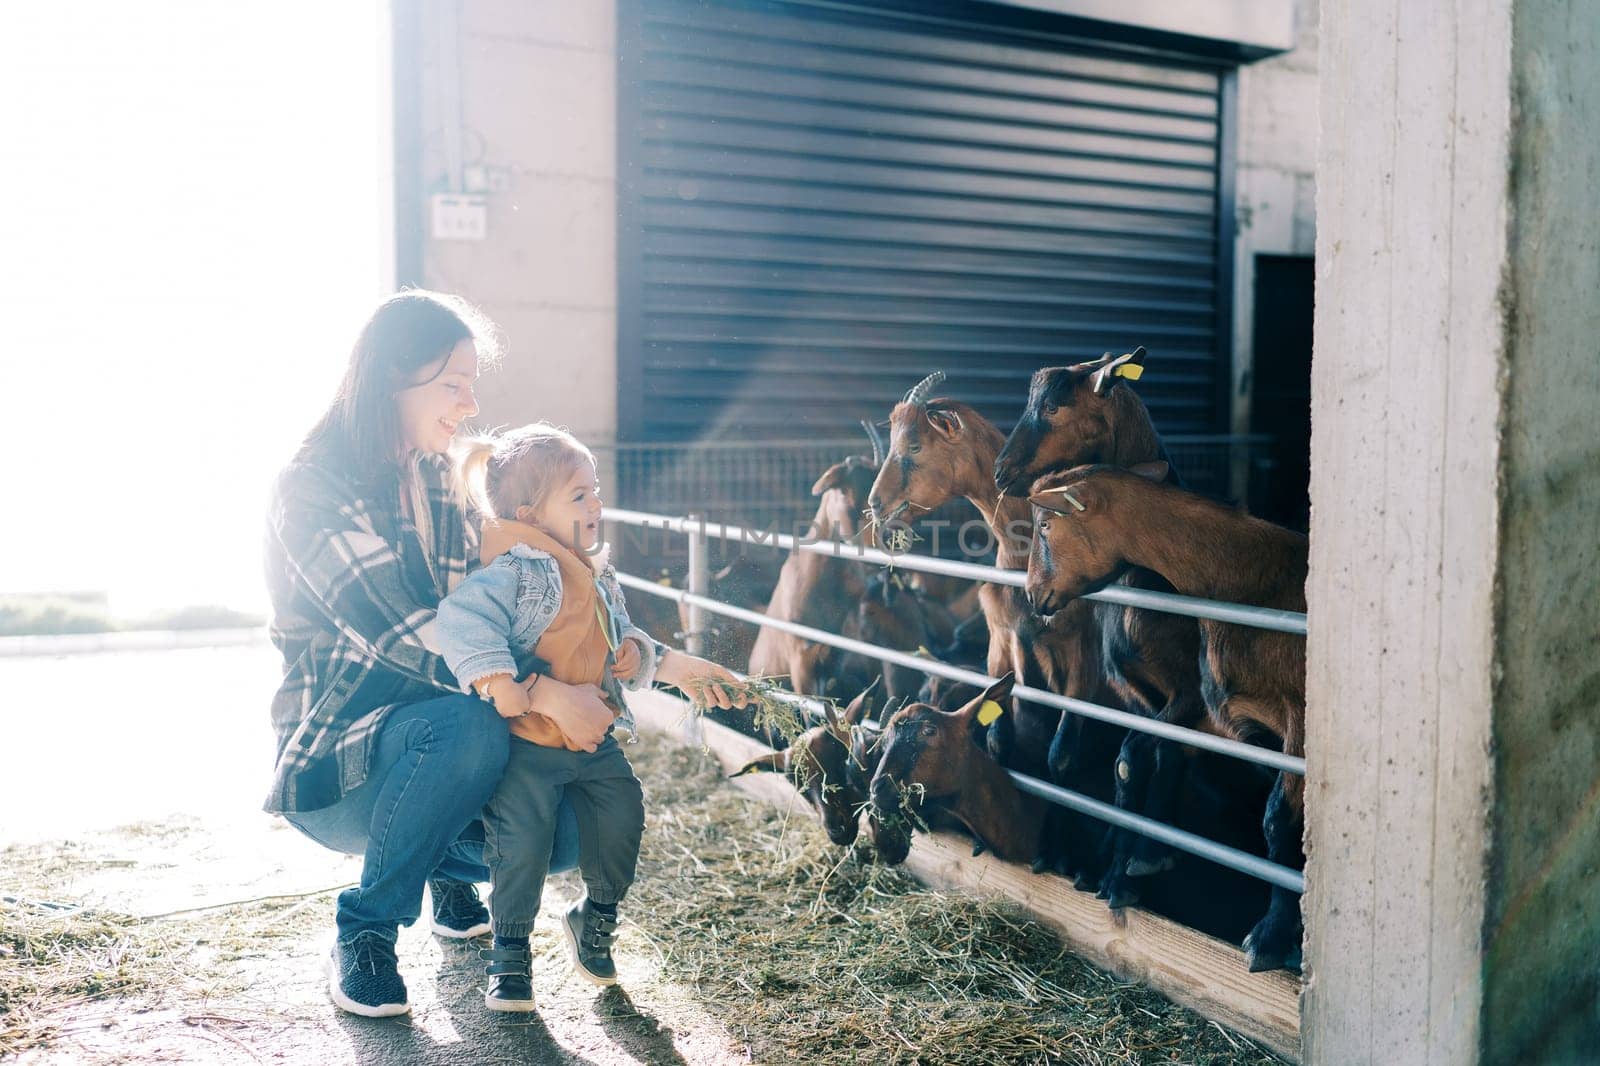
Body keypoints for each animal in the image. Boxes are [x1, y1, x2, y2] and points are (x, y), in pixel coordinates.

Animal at [870, 369, 1120, 877]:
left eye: (914, 446)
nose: (875, 506)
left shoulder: (1080, 658)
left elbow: (1061, 760)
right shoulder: (1003, 644)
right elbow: (1002, 740)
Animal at [1030, 457, 1305, 973]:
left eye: (1044, 525)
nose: (1032, 595)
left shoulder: (1295, 725)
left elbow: (1279, 820)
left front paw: (1272, 938)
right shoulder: (1212, 714)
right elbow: (1136, 757)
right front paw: (1126, 870)